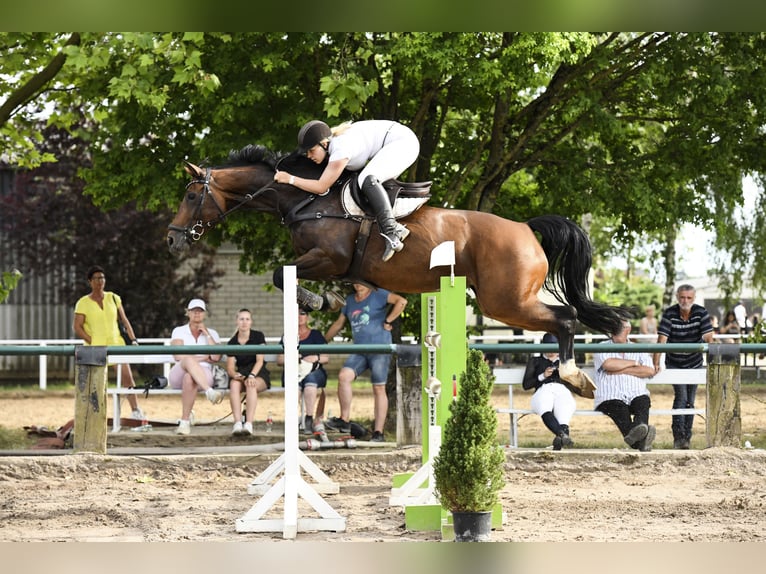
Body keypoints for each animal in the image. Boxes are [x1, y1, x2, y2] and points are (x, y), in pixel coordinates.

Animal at [166, 144, 632, 396]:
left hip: (506, 302)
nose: (171, 240)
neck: (307, 198)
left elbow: (284, 275)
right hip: (503, 301)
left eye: (190, 196)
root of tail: (525, 228)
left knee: (565, 318)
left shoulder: (329, 257)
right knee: (564, 318)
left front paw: (318, 299)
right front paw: (329, 298)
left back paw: (573, 375)